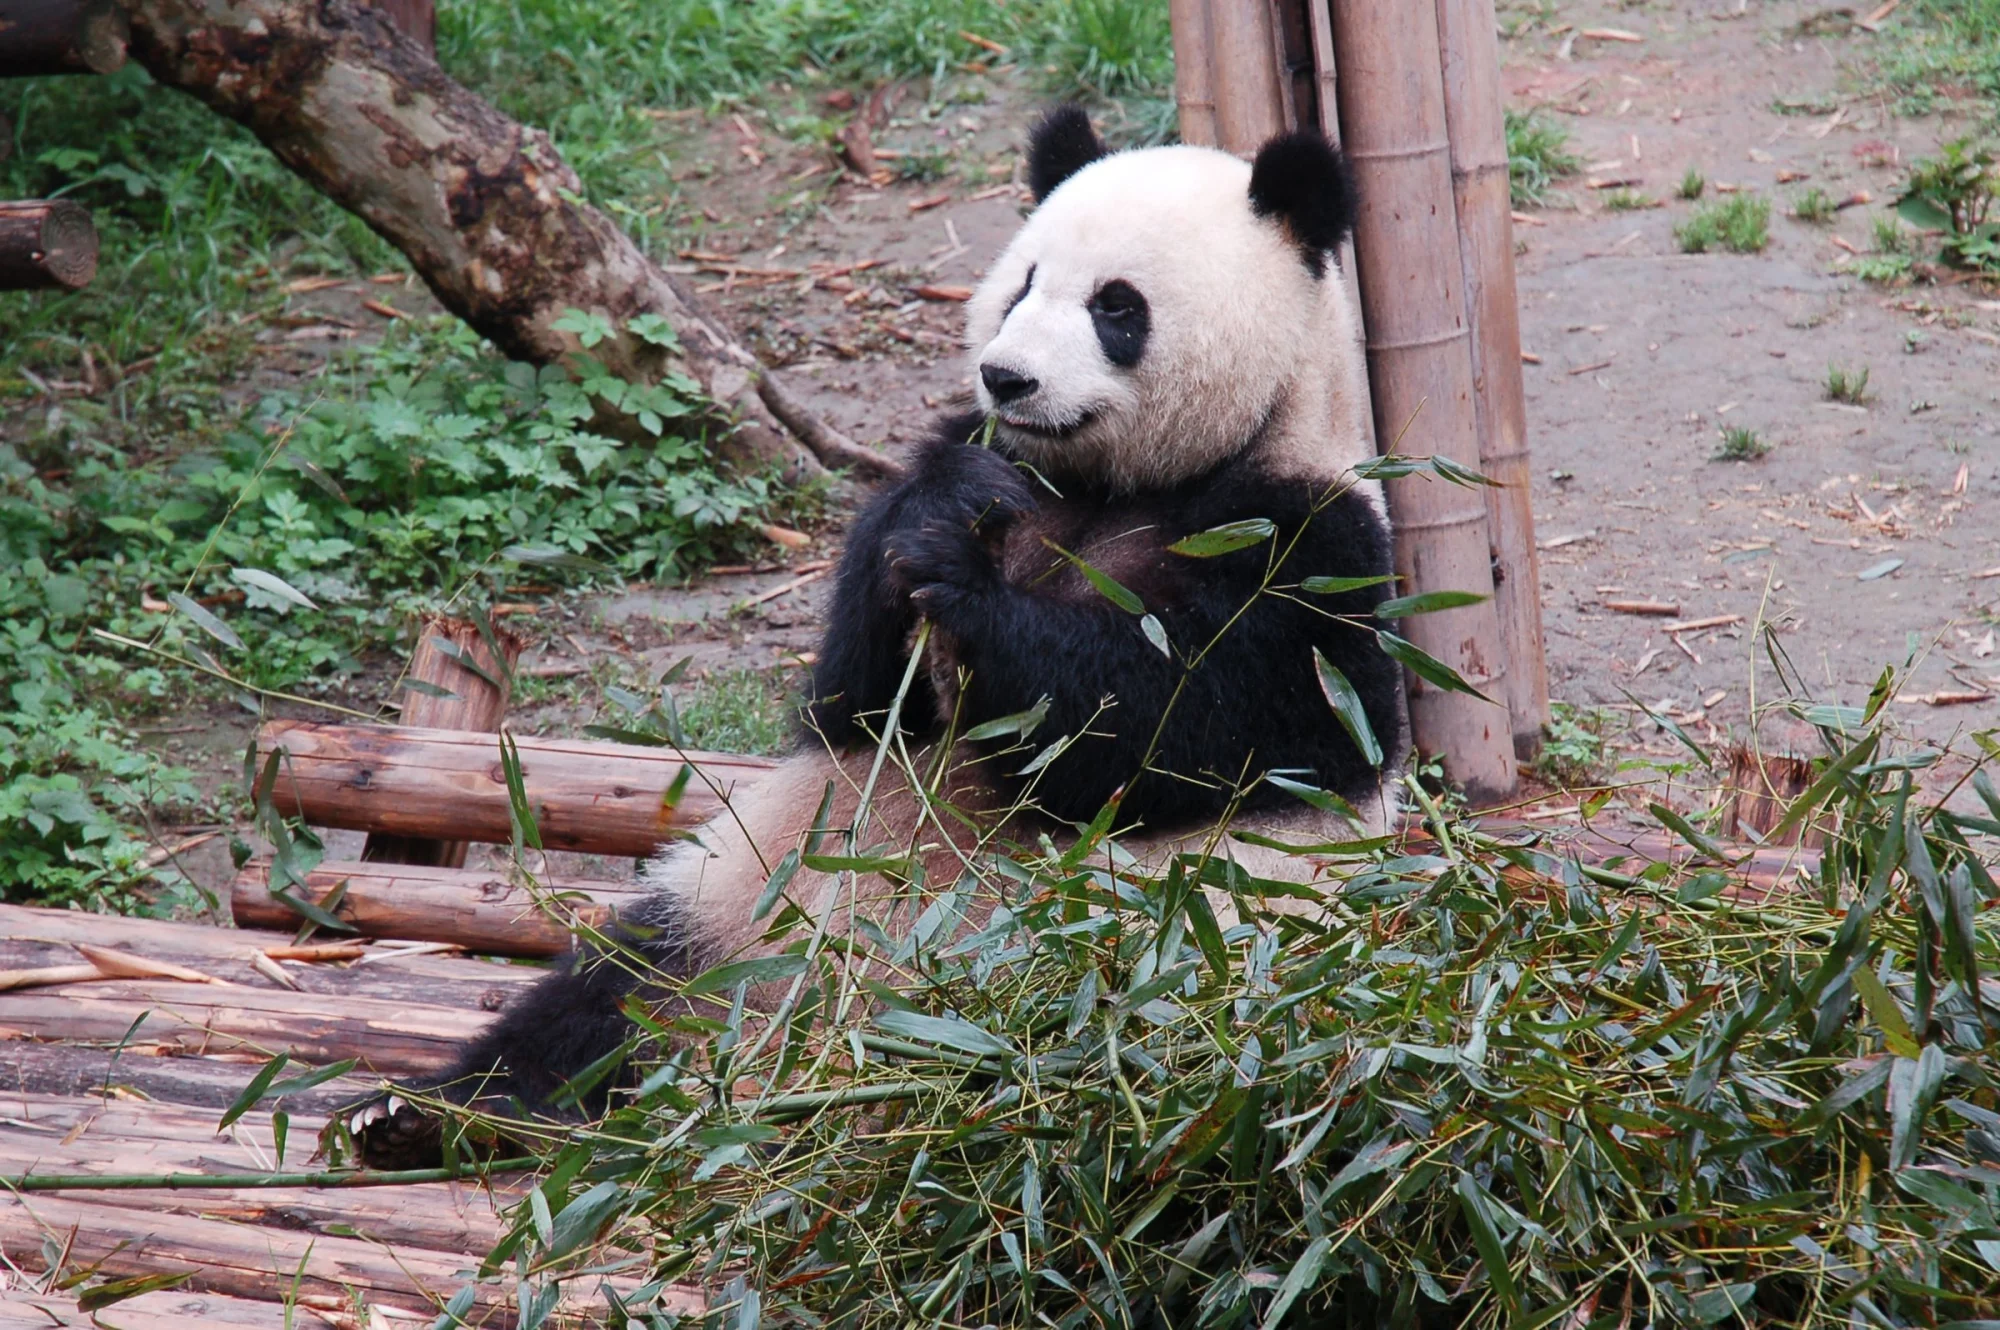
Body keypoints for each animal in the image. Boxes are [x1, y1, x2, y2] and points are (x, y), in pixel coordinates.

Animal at [352, 105, 1407, 1168]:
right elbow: (854, 700)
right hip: (745, 907)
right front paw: (941, 519)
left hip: (1124, 976)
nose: (1006, 377)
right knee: (620, 989)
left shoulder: (1307, 550)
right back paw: (432, 1115)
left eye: (1118, 308)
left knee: (1038, 1057)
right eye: (1023, 283)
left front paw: (974, 598)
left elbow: (1162, 726)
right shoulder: (995, 471)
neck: (1116, 485)